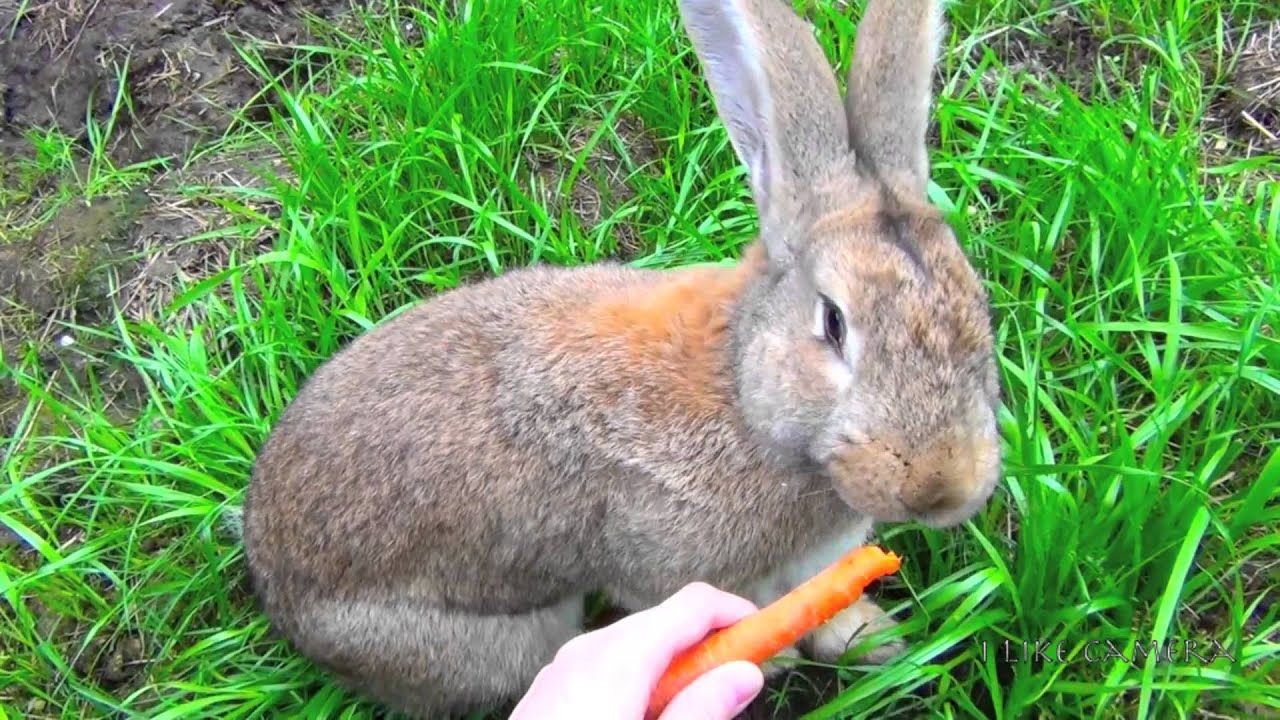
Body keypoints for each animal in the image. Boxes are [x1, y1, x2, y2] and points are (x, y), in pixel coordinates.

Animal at [240, 0, 1002, 717]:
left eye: (978, 301)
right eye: (834, 323)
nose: (944, 486)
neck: (745, 399)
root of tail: (270, 572)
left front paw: (871, 637)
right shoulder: (666, 565)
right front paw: (779, 659)